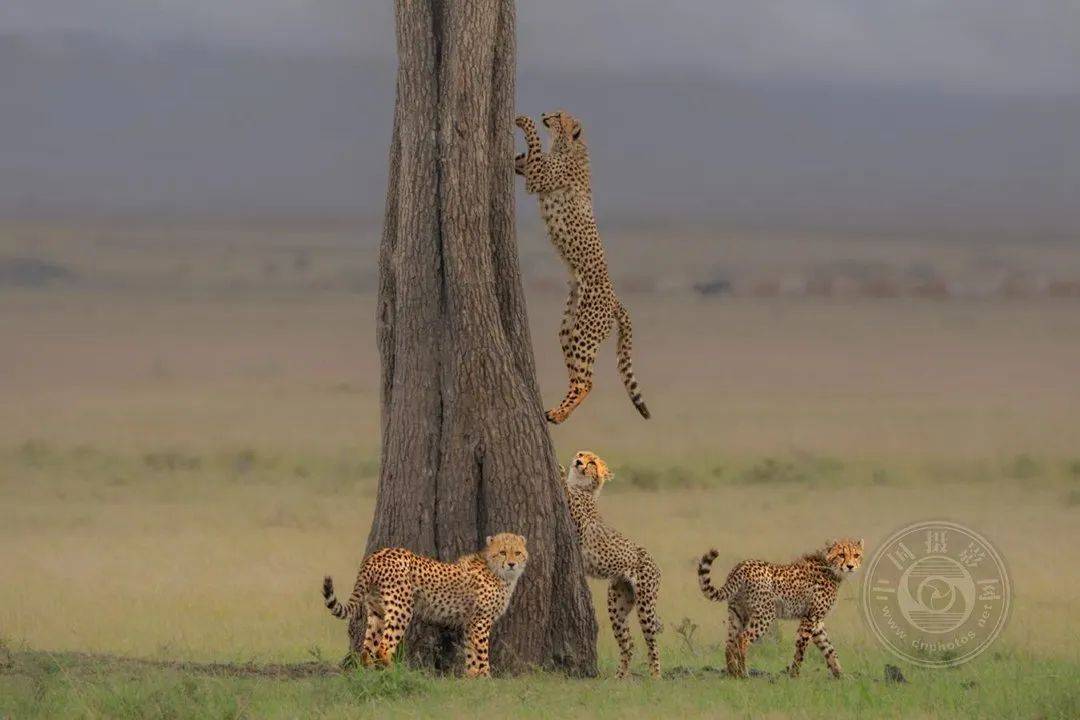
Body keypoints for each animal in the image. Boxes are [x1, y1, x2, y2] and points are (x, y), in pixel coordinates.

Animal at [321, 533, 529, 677]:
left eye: (517, 553)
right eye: (502, 552)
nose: (511, 564)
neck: (498, 572)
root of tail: (377, 554)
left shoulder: (470, 623)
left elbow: (471, 654)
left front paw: (472, 679)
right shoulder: (480, 623)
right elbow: (481, 654)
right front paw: (486, 678)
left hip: (377, 611)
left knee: (367, 650)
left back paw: (370, 673)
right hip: (402, 608)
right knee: (384, 647)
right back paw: (396, 673)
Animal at [514, 110, 648, 425]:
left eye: (559, 115)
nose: (545, 113)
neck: (570, 145)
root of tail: (615, 299)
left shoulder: (540, 176)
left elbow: (535, 146)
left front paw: (524, 122)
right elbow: (530, 158)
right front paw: (517, 157)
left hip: (585, 334)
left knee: (587, 381)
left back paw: (559, 414)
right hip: (569, 329)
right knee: (577, 375)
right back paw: (555, 410)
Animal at [561, 453, 660, 677]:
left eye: (592, 462)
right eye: (581, 454)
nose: (579, 461)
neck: (583, 486)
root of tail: (655, 564)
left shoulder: (580, 524)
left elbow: (566, 491)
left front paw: (560, 474)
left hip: (645, 604)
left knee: (653, 643)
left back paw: (656, 675)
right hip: (617, 606)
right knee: (628, 643)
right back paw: (619, 676)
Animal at [695, 539, 864, 682]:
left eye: (856, 555)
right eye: (841, 555)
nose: (850, 566)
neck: (830, 567)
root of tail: (741, 566)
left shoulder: (817, 621)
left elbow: (829, 649)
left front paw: (840, 674)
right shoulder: (810, 618)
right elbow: (801, 648)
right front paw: (794, 675)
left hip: (737, 614)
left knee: (730, 643)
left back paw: (732, 674)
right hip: (765, 615)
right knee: (742, 639)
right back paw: (744, 674)